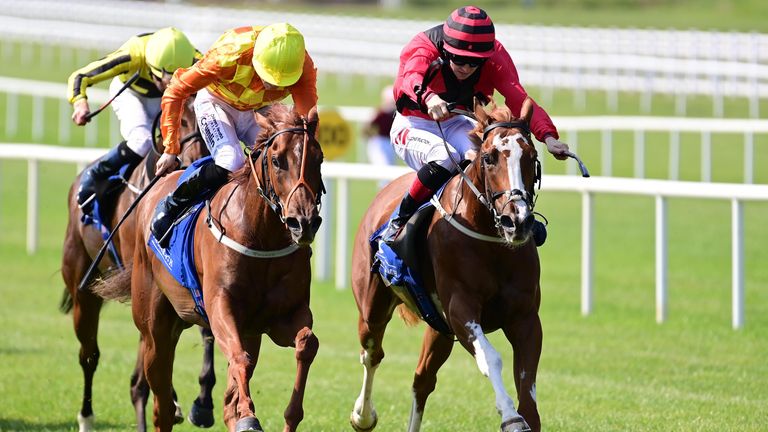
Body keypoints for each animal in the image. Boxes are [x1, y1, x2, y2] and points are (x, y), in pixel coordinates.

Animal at [60, 96, 213, 430]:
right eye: (181, 120)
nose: (197, 160)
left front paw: (202, 403)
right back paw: (86, 416)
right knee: (89, 354)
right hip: (83, 290)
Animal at [96, 103, 324, 430]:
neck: (261, 235)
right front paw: (248, 418)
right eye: (277, 161)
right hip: (154, 327)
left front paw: (287, 416)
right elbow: (239, 359)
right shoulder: (220, 307)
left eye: (319, 159)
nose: (303, 222)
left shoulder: (281, 317)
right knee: (161, 402)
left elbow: (307, 343)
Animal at [352, 98, 544, 432]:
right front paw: (510, 416)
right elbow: (491, 358)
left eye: (531, 157)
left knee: (422, 380)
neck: (490, 239)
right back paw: (363, 415)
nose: (517, 221)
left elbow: (527, 380)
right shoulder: (461, 309)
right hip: (372, 308)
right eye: (489, 157)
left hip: (438, 328)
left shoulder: (526, 317)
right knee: (372, 353)